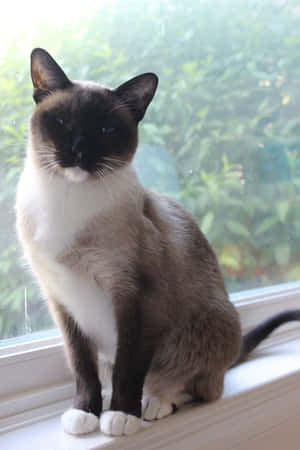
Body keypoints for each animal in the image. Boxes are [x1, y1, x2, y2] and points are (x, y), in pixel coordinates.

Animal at [15, 48, 300, 436]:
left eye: (105, 130)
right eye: (61, 122)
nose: (78, 151)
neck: (66, 198)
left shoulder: (138, 297)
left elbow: (129, 367)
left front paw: (121, 414)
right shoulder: (60, 300)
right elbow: (82, 368)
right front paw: (86, 412)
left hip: (204, 329)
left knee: (196, 387)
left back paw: (153, 404)